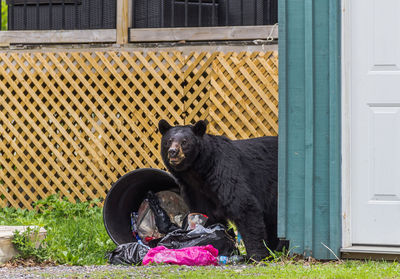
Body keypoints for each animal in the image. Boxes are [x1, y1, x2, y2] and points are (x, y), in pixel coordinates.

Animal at [159, 118, 278, 260]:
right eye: (168, 141)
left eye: (184, 142)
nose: (173, 151)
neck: (198, 172)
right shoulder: (195, 190)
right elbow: (206, 213)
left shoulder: (225, 173)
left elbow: (244, 206)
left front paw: (257, 255)